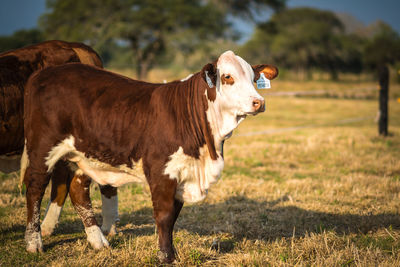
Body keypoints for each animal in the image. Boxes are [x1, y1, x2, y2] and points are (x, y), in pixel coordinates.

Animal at [21, 50, 278, 264]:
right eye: (227, 77)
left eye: (254, 78)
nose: (259, 102)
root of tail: (43, 74)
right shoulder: (161, 171)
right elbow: (163, 215)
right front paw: (165, 257)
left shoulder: (182, 174)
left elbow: (173, 217)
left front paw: (171, 254)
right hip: (42, 148)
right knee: (35, 188)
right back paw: (34, 243)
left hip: (83, 155)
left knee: (78, 191)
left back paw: (98, 242)